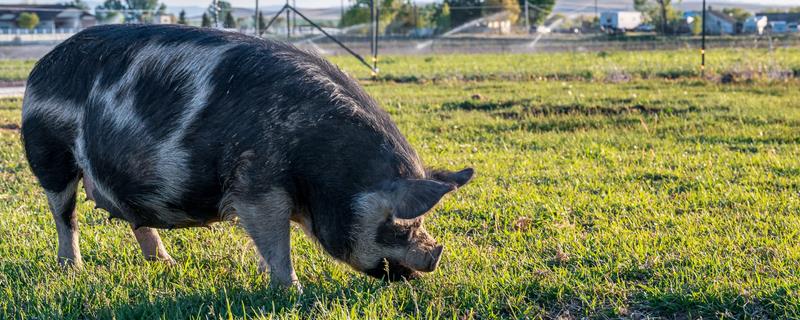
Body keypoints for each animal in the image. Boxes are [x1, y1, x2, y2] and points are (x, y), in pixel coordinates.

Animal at [20, 25, 476, 288]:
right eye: (400, 223)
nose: (433, 258)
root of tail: (39, 67)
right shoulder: (255, 184)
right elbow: (276, 240)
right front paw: (293, 292)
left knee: (136, 220)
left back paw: (166, 264)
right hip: (49, 153)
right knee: (64, 215)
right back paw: (72, 269)